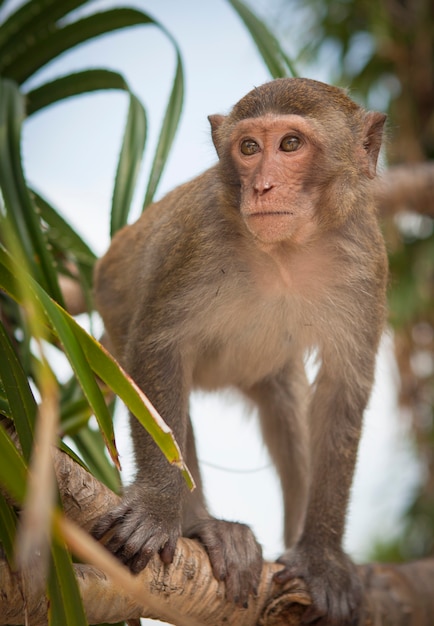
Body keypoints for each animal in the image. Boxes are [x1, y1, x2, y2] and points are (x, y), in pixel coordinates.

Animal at [94, 75, 386, 620]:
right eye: (249, 148)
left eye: (290, 144)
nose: (261, 186)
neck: (285, 252)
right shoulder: (199, 237)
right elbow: (160, 348)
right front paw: (159, 513)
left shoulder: (364, 257)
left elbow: (342, 392)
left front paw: (323, 558)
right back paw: (206, 527)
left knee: (289, 412)